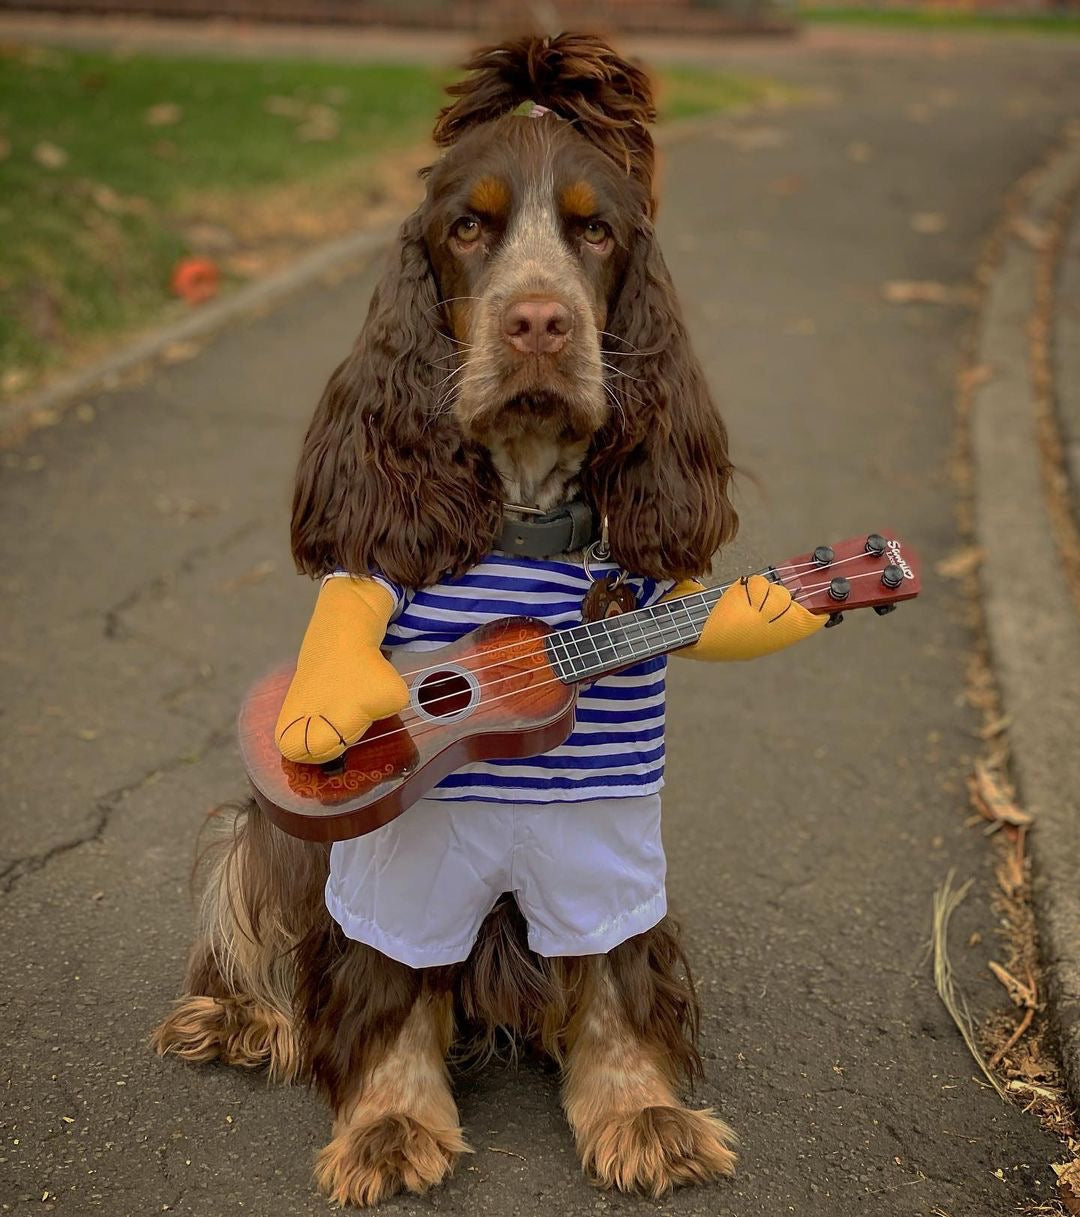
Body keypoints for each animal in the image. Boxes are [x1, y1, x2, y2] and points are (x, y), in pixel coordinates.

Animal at [154, 30, 745, 1207]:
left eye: (595, 229)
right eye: (469, 228)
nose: (539, 322)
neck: (521, 509)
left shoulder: (605, 837)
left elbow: (617, 981)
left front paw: (644, 1112)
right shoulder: (400, 861)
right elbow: (387, 981)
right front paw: (389, 1125)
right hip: (281, 832)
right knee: (252, 897)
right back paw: (238, 1013)